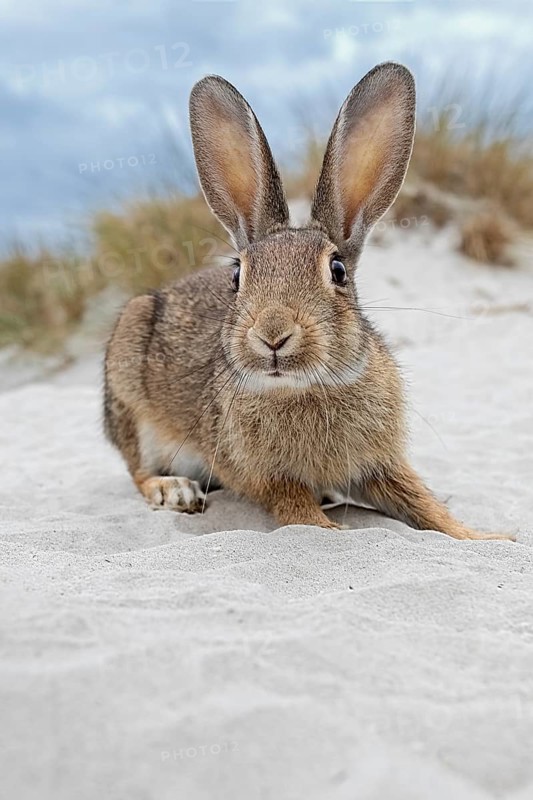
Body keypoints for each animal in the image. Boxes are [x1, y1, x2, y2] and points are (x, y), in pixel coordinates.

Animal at [104, 61, 512, 541]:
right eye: (237, 275)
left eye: (337, 270)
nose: (273, 334)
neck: (306, 386)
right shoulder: (268, 477)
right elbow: (299, 511)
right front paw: (334, 530)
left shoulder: (381, 464)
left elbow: (424, 504)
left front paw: (490, 538)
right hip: (132, 402)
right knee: (138, 470)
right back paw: (175, 490)